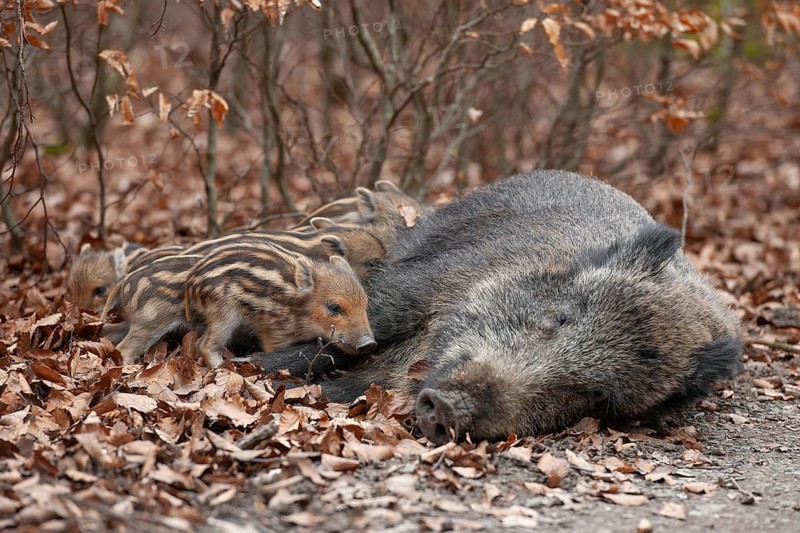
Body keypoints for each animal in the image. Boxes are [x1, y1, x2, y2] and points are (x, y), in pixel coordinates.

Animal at [185, 241, 375, 369]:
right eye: (334, 307)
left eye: (365, 303)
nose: (370, 343)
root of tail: (191, 281)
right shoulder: (274, 334)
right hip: (223, 314)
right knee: (206, 345)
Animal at [248, 170, 742, 444]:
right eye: (560, 318)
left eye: (599, 397)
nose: (446, 408)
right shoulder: (414, 286)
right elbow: (330, 342)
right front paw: (252, 369)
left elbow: (345, 387)